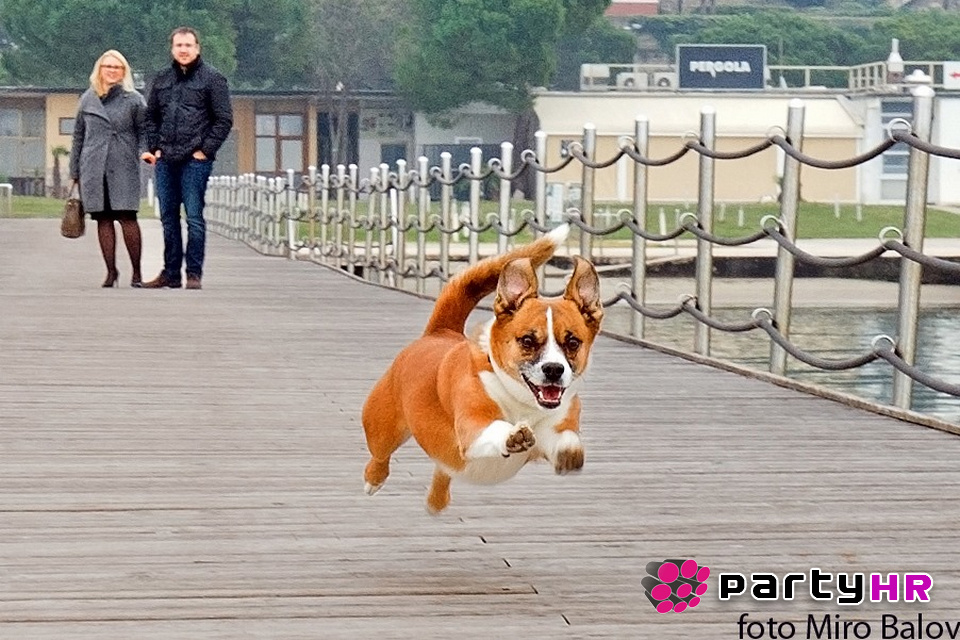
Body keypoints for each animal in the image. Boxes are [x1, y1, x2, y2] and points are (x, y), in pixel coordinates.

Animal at [361, 224, 602, 513]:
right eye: (528, 341)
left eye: (573, 342)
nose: (554, 369)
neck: (524, 403)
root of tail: (440, 331)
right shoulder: (473, 426)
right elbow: (493, 428)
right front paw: (512, 435)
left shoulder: (556, 426)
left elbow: (564, 438)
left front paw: (569, 452)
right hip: (383, 428)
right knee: (379, 454)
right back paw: (374, 479)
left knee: (444, 468)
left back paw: (437, 501)